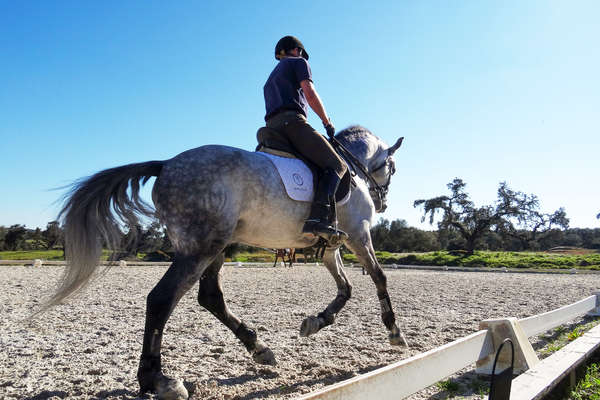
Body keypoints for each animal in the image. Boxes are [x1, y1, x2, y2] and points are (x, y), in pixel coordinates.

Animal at [41, 124, 404, 396]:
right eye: (392, 168)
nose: (383, 202)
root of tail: (167, 163)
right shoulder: (359, 233)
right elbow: (378, 276)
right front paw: (394, 332)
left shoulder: (331, 246)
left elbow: (346, 288)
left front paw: (315, 322)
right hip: (202, 248)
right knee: (162, 299)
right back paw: (158, 381)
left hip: (218, 246)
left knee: (210, 296)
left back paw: (259, 348)